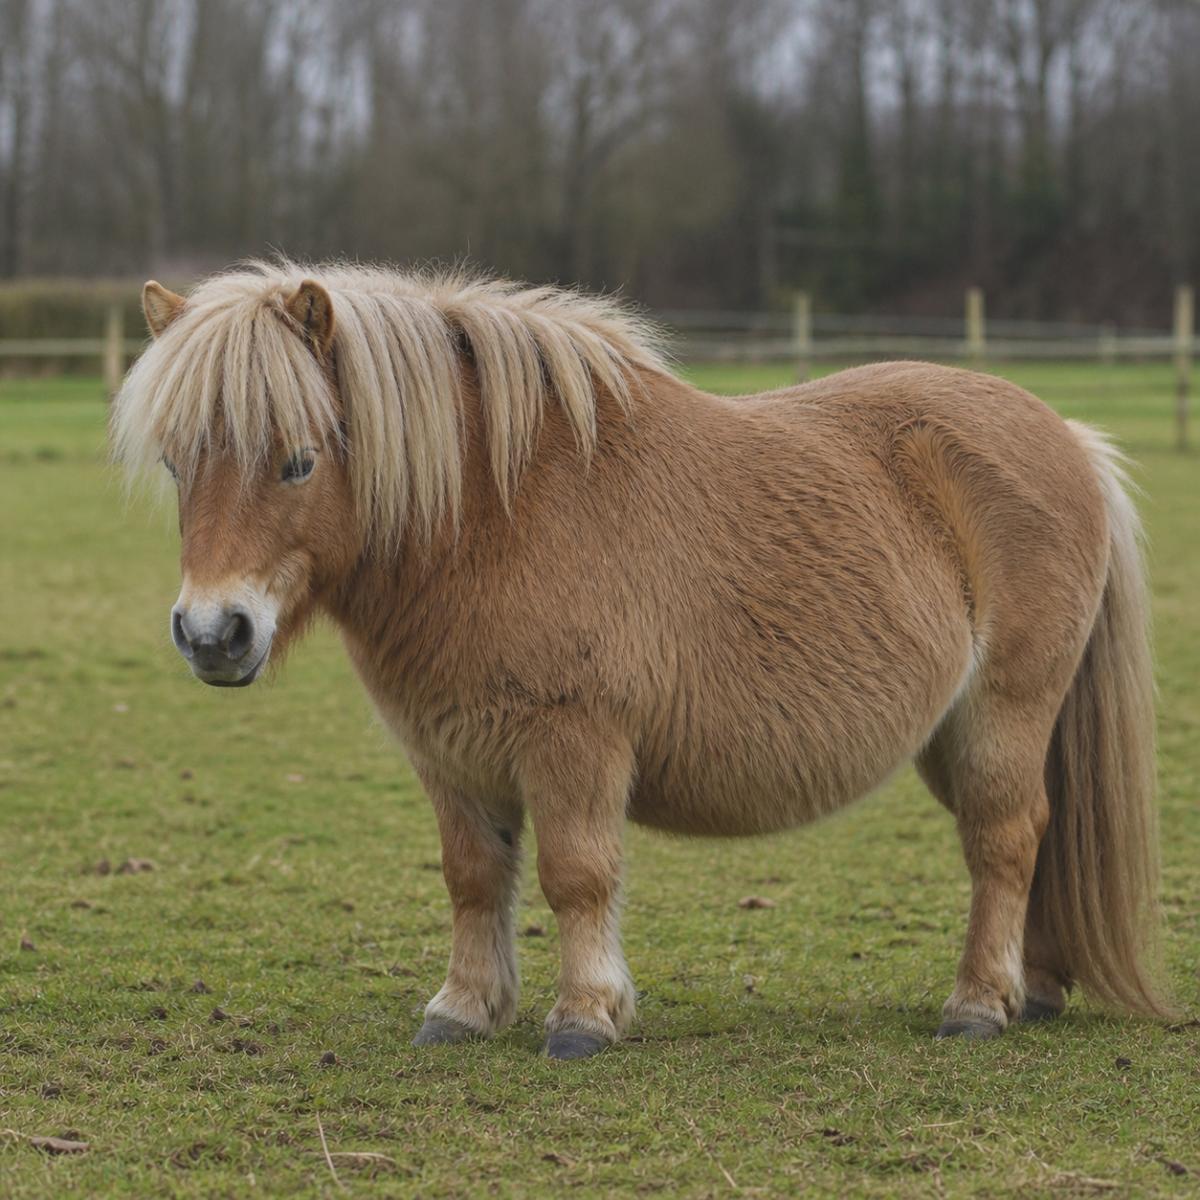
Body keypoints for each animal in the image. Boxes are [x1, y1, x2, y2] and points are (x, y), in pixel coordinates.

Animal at [112, 259, 1168, 1059]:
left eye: (298, 459)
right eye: (176, 462)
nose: (212, 634)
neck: (493, 515)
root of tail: (1065, 435)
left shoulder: (574, 741)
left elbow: (577, 875)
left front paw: (585, 1017)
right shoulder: (451, 756)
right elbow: (473, 878)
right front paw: (463, 1011)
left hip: (1003, 714)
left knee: (1005, 839)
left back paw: (979, 1005)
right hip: (950, 738)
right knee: (1033, 839)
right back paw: (1035, 990)